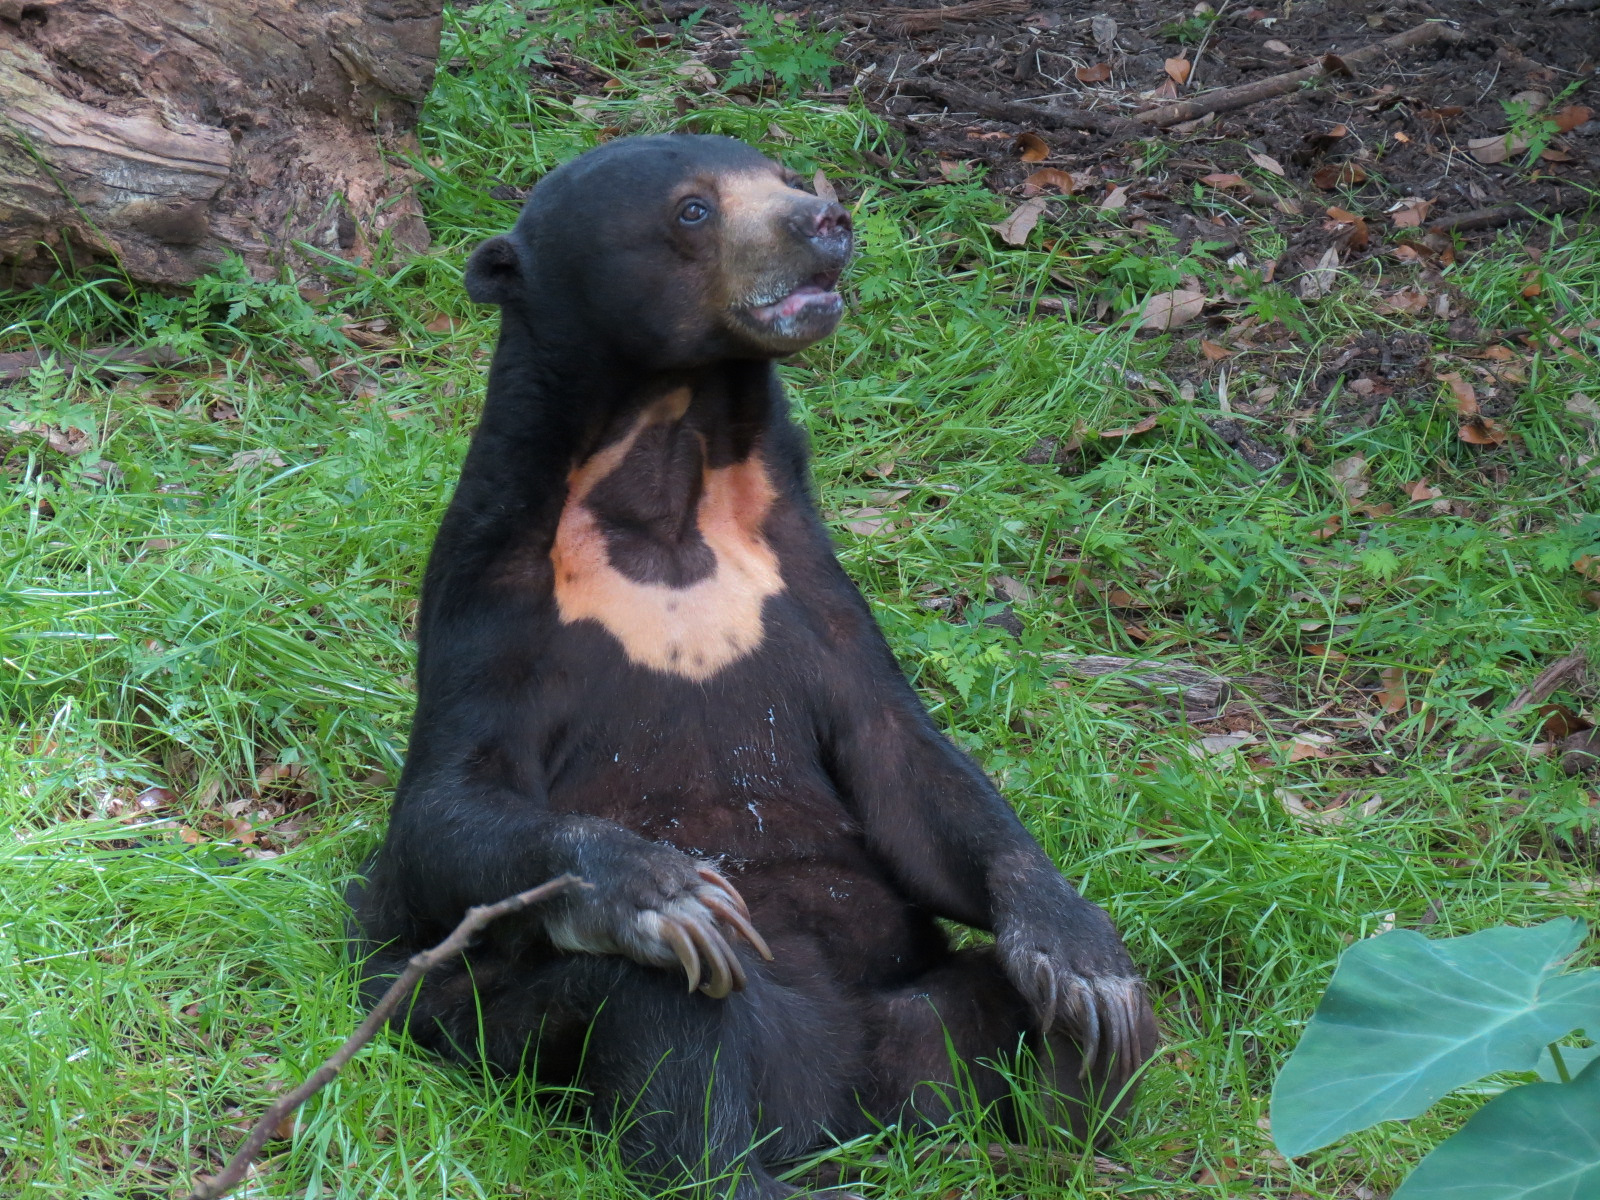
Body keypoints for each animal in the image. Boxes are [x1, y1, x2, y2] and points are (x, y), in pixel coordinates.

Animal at [350, 133, 1157, 1199]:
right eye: (693, 210)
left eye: (781, 175)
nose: (828, 221)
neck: (667, 477)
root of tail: (844, 1109)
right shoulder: (494, 597)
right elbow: (443, 814)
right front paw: (660, 886)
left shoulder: (805, 584)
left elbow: (906, 767)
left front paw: (1077, 951)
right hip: (502, 1027)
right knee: (667, 1004)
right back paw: (736, 1153)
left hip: (925, 1018)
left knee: (1053, 1025)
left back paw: (1072, 1115)